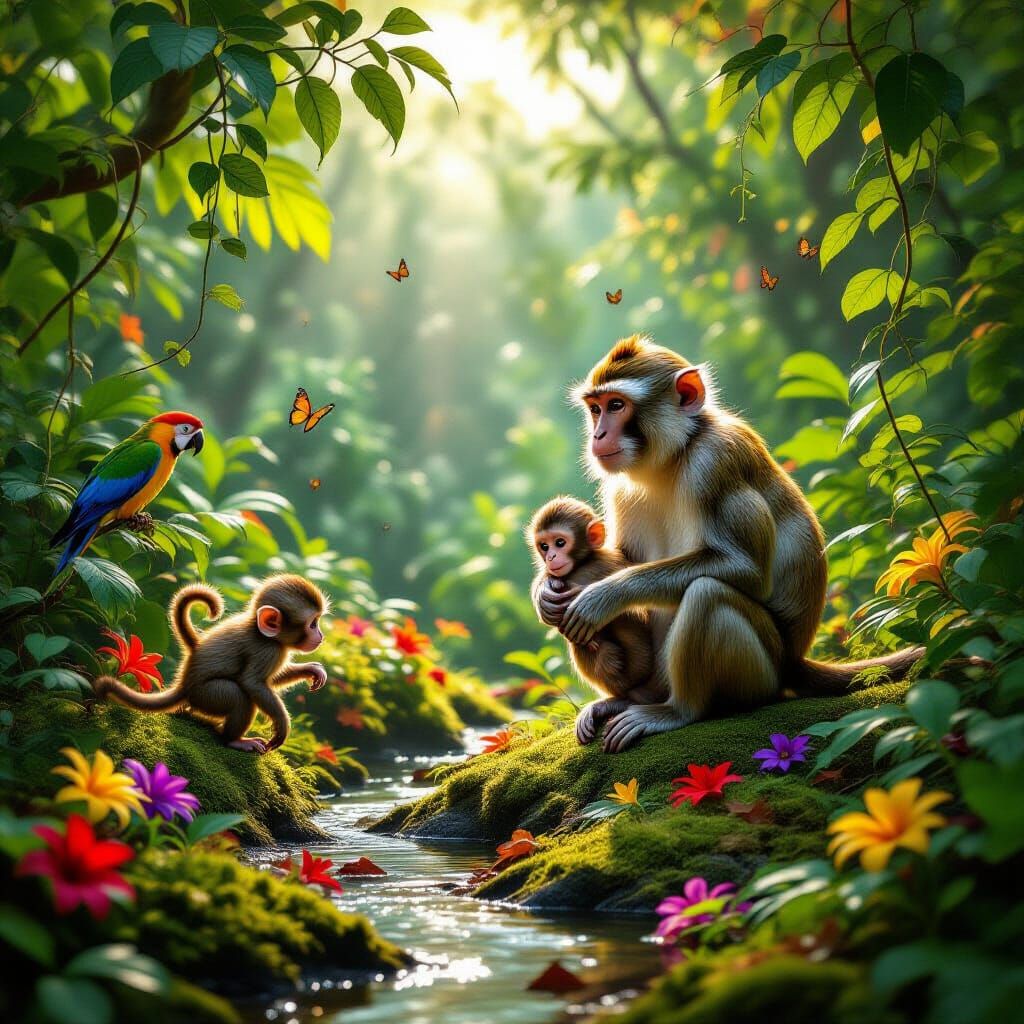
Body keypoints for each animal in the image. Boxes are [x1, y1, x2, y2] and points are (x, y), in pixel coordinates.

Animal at [93, 574, 329, 753]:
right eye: (312, 624)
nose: (321, 636)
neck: (264, 634)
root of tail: (185, 684)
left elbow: (270, 679)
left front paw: (312, 670)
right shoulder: (268, 650)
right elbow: (252, 683)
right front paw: (282, 724)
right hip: (206, 696)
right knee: (239, 696)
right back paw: (233, 740)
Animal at [528, 497, 661, 745]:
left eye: (560, 542)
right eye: (544, 546)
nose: (550, 558)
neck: (583, 565)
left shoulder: (610, 563)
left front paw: (585, 597)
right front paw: (544, 592)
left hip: (643, 665)